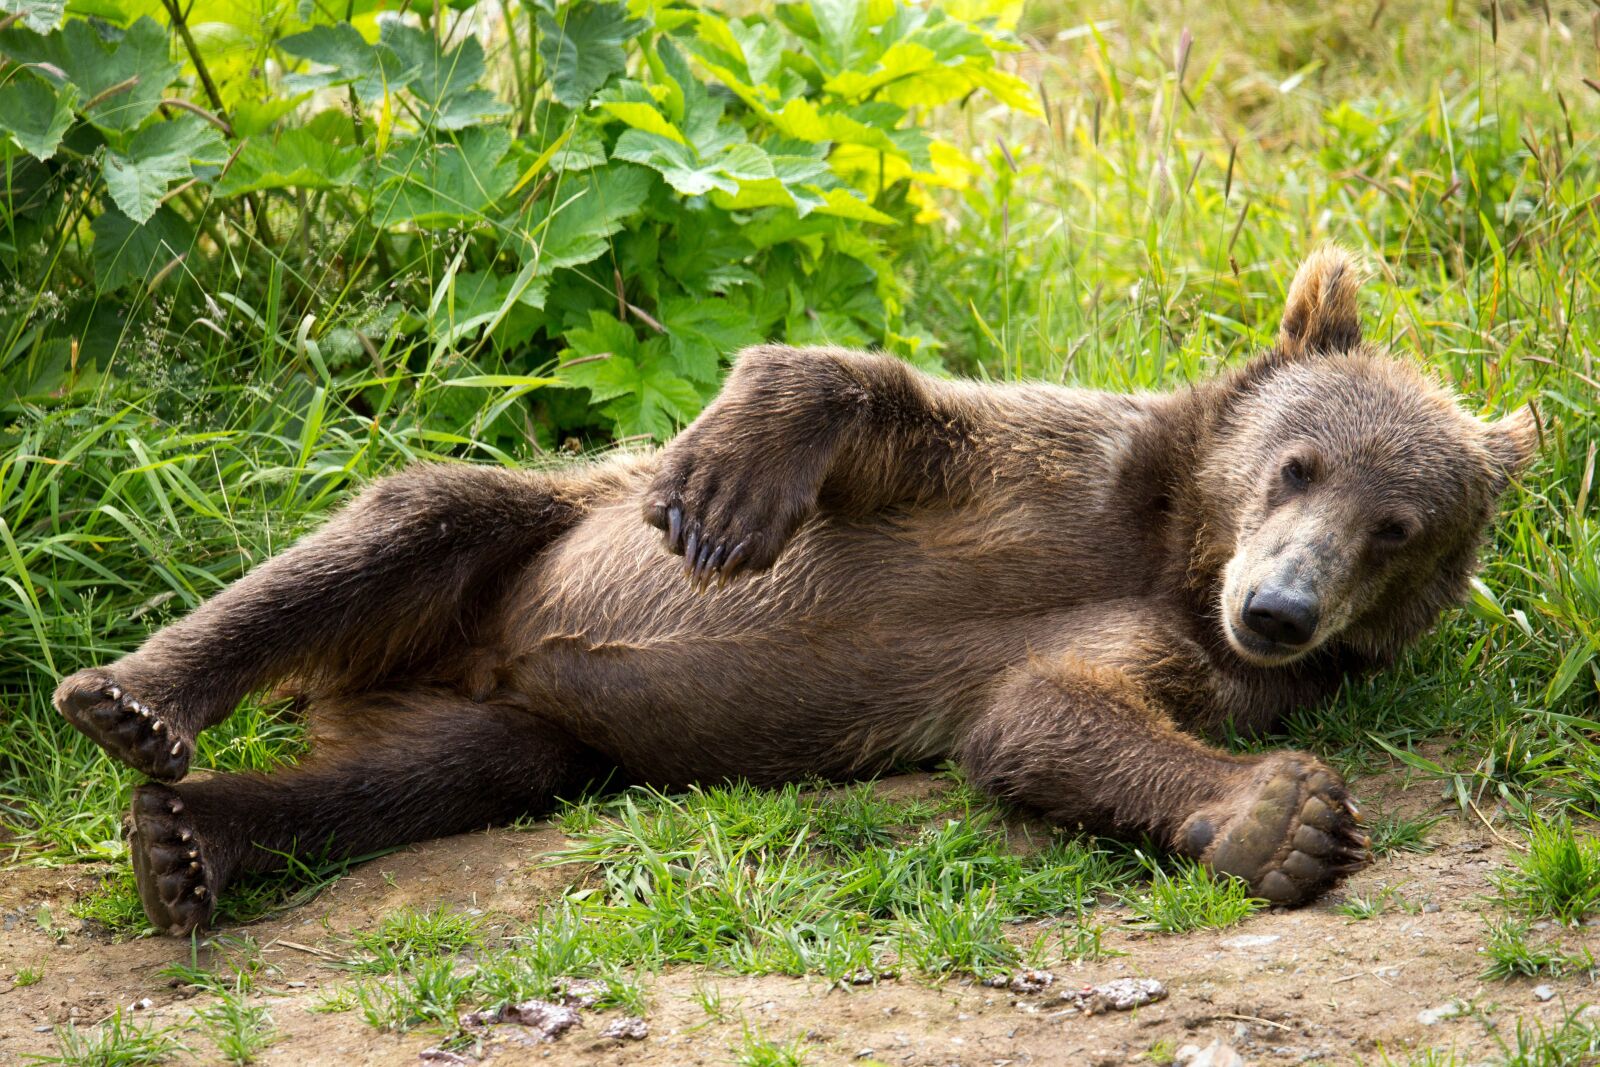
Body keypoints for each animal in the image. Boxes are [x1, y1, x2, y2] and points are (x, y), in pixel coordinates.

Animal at [51, 247, 1537, 936]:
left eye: (1398, 527)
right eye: (1298, 462)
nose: (1278, 609)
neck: (1171, 550)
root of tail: (484, 663)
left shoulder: (1178, 658)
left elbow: (1050, 715)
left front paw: (1281, 819)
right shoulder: (1044, 475)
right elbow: (860, 391)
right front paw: (725, 491)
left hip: (536, 735)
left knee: (413, 778)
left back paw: (192, 839)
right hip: (521, 549)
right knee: (406, 522)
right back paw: (133, 700)